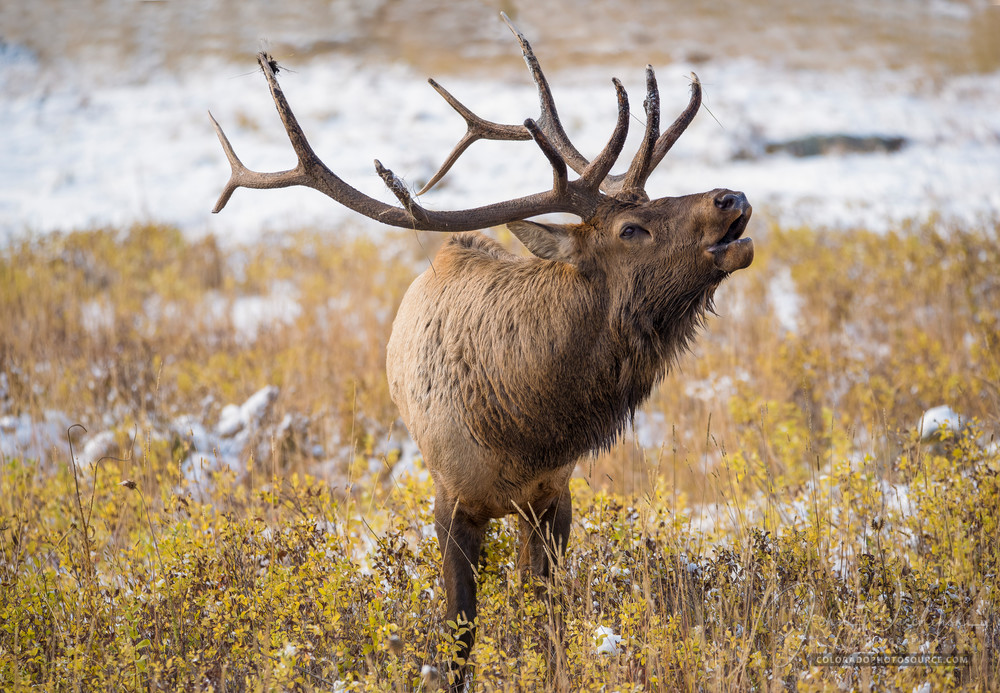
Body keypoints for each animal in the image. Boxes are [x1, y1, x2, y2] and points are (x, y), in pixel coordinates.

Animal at [210, 14, 753, 690]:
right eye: (632, 229)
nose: (730, 197)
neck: (525, 429)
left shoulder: (553, 497)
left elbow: (546, 621)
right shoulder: (451, 501)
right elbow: (458, 637)